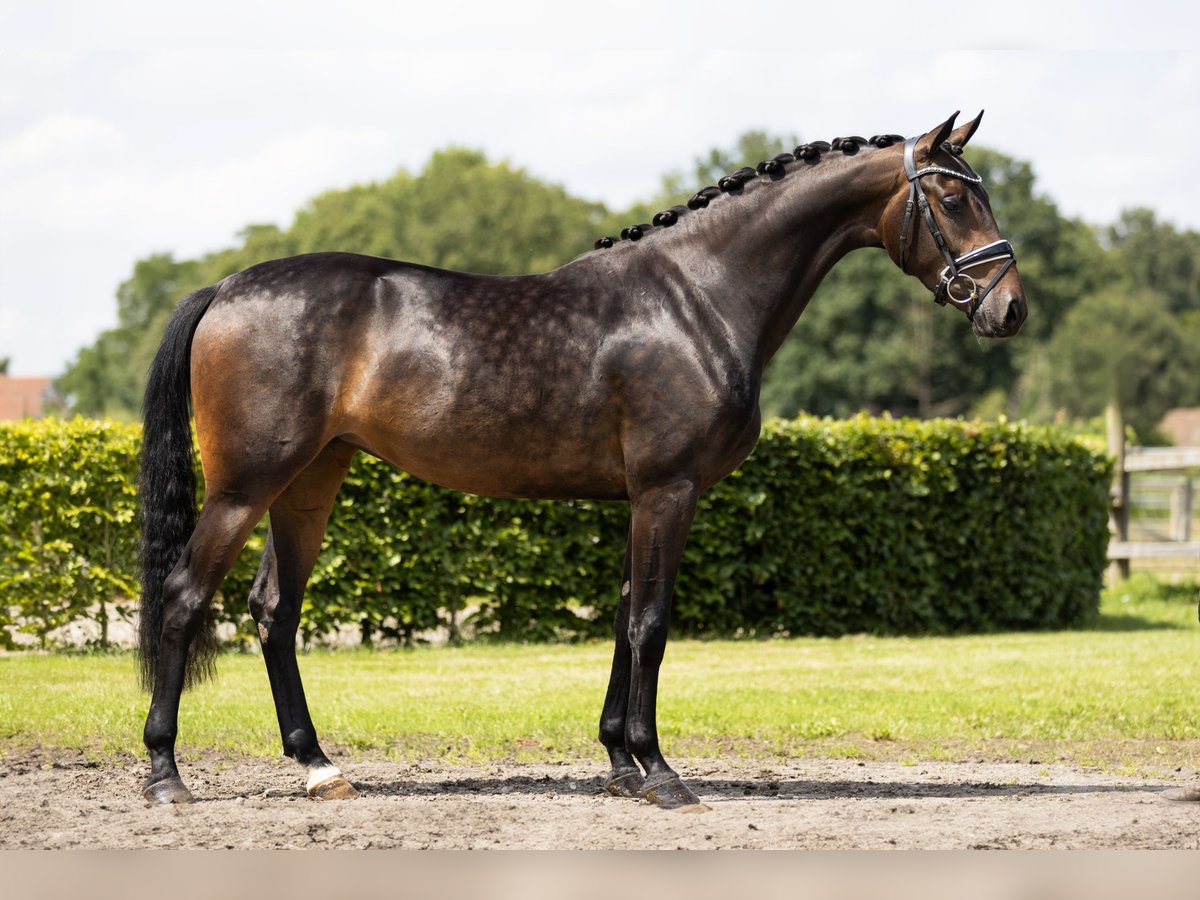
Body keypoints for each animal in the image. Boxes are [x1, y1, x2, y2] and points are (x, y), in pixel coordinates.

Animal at [136, 111, 1027, 811]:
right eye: (954, 197)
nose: (1010, 309)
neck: (697, 298)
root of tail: (226, 288)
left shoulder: (645, 497)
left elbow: (626, 618)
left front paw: (620, 763)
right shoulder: (668, 490)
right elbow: (651, 623)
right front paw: (661, 773)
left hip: (311, 481)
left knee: (273, 610)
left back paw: (319, 768)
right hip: (247, 485)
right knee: (184, 598)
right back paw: (166, 773)